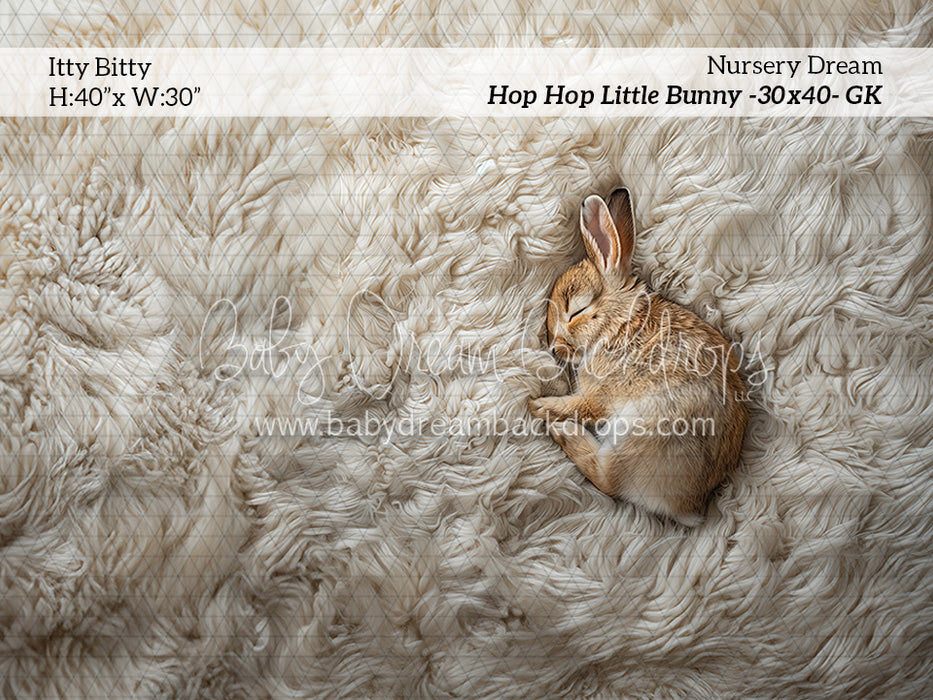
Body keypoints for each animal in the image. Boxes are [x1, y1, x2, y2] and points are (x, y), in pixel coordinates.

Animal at [529, 188, 748, 526]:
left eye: (577, 311)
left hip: (638, 432)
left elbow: (579, 406)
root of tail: (686, 506)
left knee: (607, 479)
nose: (555, 348)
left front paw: (538, 405)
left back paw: (564, 432)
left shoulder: (597, 397)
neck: (620, 323)